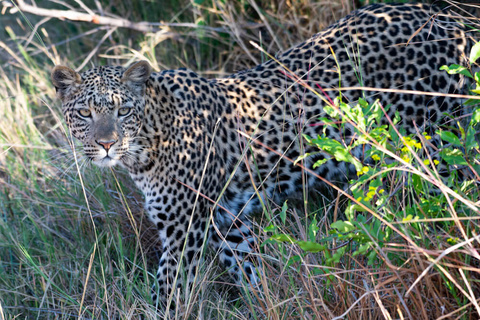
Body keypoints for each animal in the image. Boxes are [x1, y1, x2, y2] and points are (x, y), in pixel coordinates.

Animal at [51, 1, 472, 310]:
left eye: (123, 111)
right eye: (85, 113)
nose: (107, 144)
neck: (147, 146)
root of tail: (449, 17)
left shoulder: (185, 228)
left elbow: (168, 291)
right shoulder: (225, 221)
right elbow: (251, 269)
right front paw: (271, 303)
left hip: (436, 145)